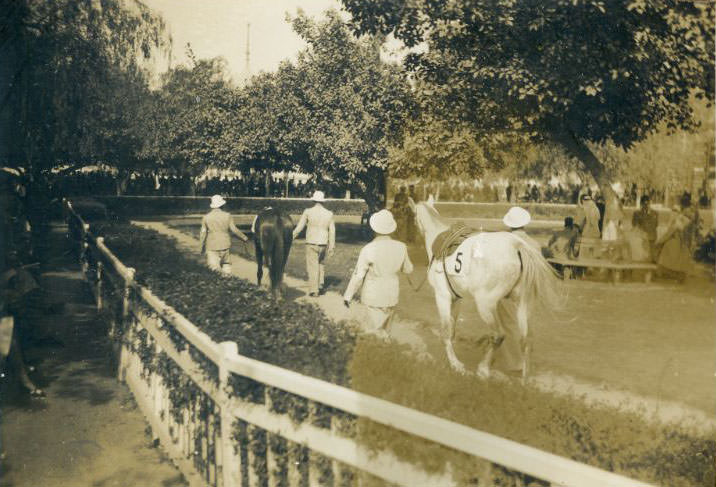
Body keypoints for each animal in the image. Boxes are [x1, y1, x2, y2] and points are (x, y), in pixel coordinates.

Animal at [412, 198, 564, 382]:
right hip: (523, 304)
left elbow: (446, 331)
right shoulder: (457, 299)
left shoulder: (442, 296)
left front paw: (455, 364)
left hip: (485, 305)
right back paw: (524, 379)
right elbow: (452, 329)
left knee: (498, 335)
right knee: (526, 339)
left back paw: (484, 369)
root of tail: (517, 246)